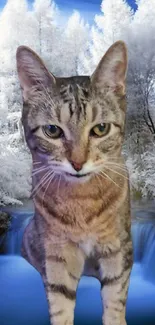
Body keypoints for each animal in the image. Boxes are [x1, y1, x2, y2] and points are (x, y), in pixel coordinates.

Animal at [15, 40, 133, 324]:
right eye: (52, 130)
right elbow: (60, 304)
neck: (82, 200)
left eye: (101, 129)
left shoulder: (118, 249)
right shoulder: (57, 253)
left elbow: (115, 300)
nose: (78, 163)